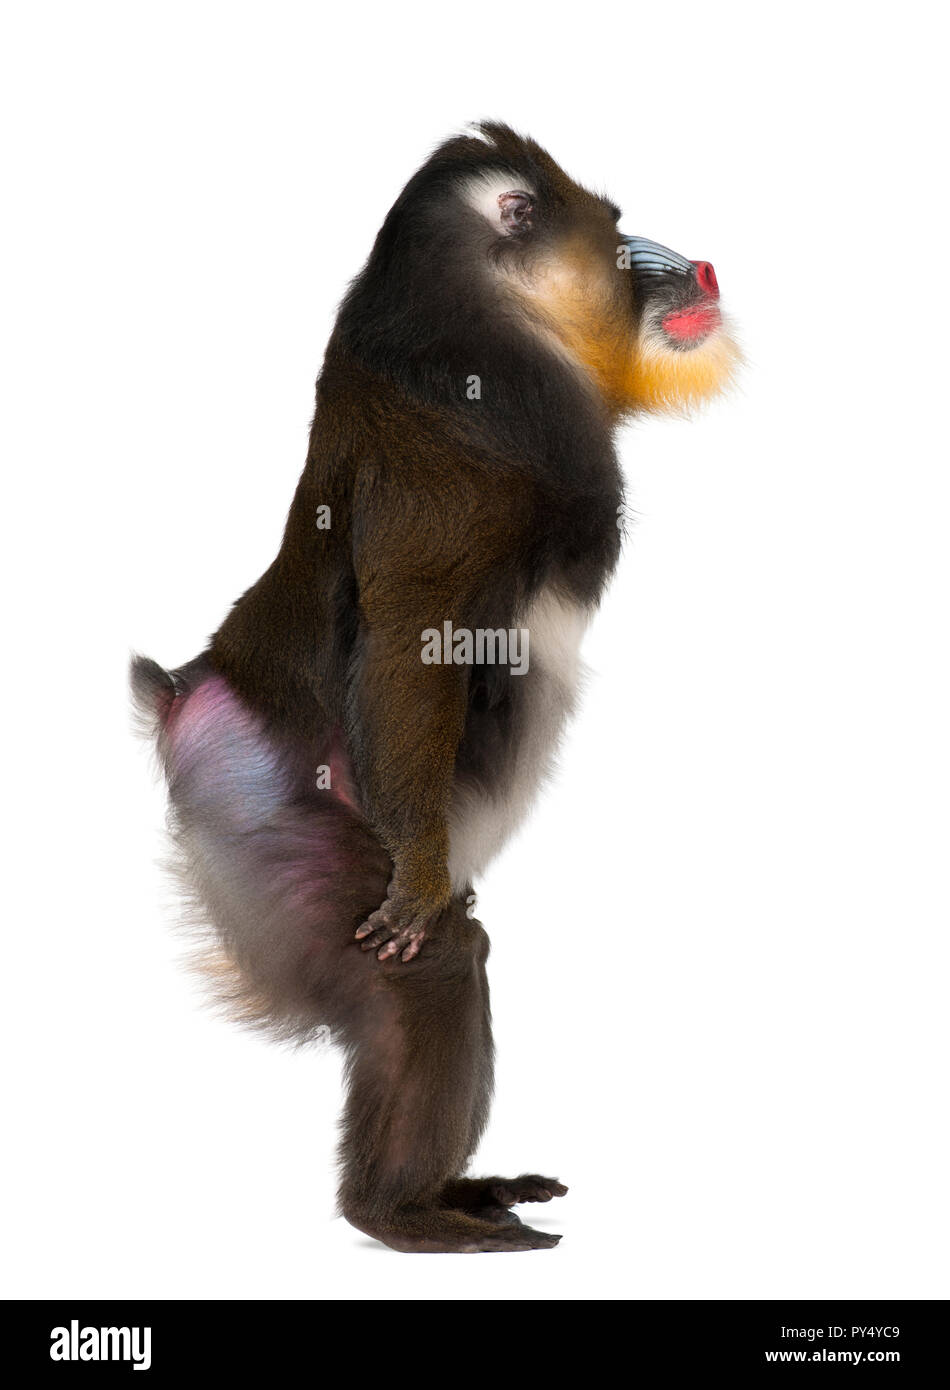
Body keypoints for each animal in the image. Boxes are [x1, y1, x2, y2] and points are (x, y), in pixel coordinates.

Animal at [131, 123, 740, 1254]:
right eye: (612, 229)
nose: (699, 268)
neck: (482, 318)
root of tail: (190, 693)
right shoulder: (448, 475)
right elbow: (411, 642)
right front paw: (418, 881)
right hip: (262, 805)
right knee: (435, 970)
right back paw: (400, 1212)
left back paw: (460, 1191)